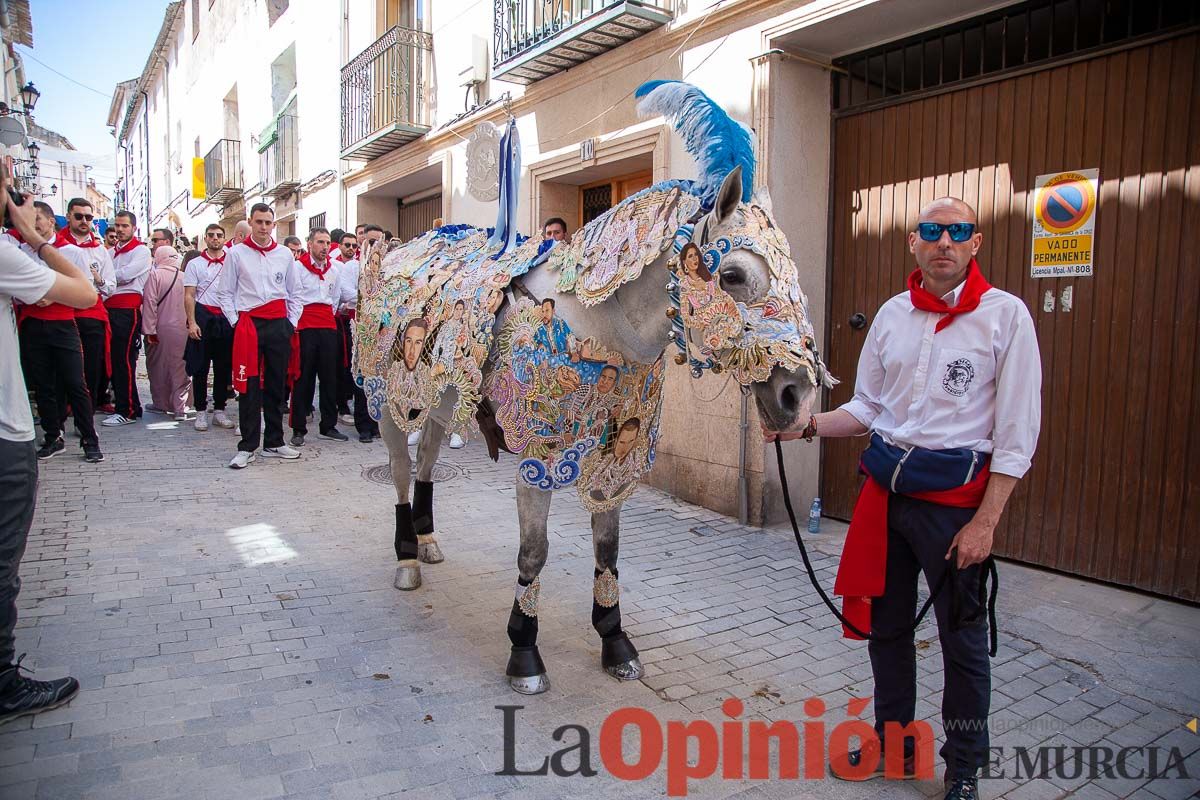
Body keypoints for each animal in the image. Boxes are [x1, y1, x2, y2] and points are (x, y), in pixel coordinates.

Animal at [350, 82, 830, 695]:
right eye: (733, 276)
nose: (800, 396)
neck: (598, 328)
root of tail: (401, 250)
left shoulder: (617, 456)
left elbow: (608, 548)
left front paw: (614, 638)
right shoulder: (537, 459)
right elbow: (534, 553)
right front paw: (524, 651)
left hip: (437, 402)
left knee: (429, 460)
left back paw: (429, 541)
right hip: (391, 402)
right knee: (399, 470)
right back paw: (408, 558)